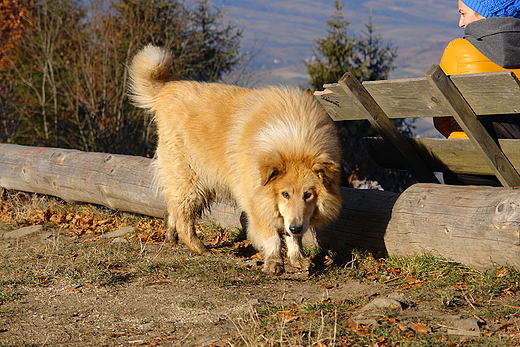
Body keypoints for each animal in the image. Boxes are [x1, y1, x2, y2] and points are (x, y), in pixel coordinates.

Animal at [128, 45, 344, 274]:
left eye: (308, 195)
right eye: (285, 194)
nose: (296, 227)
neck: (294, 144)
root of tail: (168, 88)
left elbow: (293, 236)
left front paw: (298, 258)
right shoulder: (257, 201)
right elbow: (271, 236)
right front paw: (274, 262)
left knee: (173, 208)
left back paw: (171, 238)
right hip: (191, 182)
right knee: (184, 218)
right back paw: (200, 248)